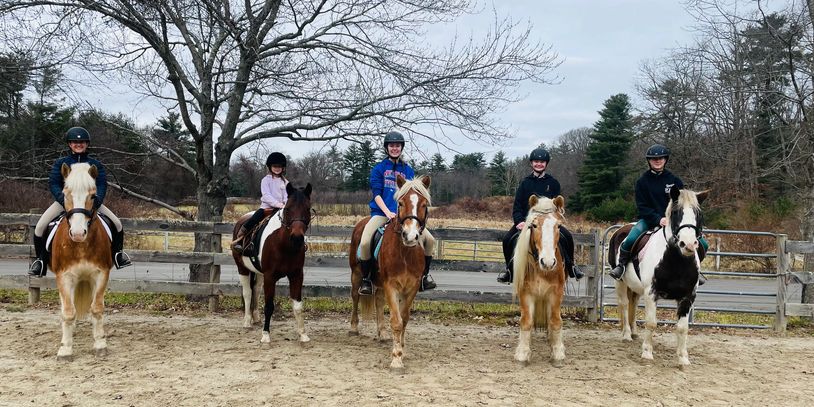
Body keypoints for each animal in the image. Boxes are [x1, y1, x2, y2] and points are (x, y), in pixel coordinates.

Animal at [50, 163, 113, 360]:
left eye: (92, 196)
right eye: (65, 194)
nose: (78, 233)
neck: (81, 246)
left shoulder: (101, 274)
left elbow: (97, 309)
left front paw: (100, 344)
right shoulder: (64, 276)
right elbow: (69, 312)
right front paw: (65, 349)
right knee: (66, 305)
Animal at [232, 183, 312, 344]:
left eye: (307, 208)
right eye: (287, 208)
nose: (297, 238)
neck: (283, 244)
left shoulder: (296, 275)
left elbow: (298, 306)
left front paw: (303, 334)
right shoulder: (270, 276)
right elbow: (269, 306)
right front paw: (265, 335)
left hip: (258, 273)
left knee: (256, 291)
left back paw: (256, 318)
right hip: (242, 268)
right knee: (248, 293)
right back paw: (247, 321)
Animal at [348, 174, 431, 369]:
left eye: (424, 204)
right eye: (400, 203)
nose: (410, 236)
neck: (405, 252)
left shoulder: (411, 287)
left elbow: (404, 318)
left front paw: (402, 349)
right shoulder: (391, 285)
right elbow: (396, 321)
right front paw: (396, 358)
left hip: (379, 282)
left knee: (378, 301)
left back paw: (383, 333)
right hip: (356, 274)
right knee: (355, 296)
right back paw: (354, 328)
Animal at [512, 195, 567, 366]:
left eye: (558, 226)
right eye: (534, 225)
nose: (548, 262)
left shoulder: (556, 293)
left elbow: (555, 321)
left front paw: (557, 353)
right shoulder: (525, 293)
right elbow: (526, 321)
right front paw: (522, 354)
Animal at [608, 188, 709, 367]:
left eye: (698, 214)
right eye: (676, 212)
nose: (688, 245)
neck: (676, 261)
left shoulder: (688, 297)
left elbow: (682, 328)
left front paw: (683, 358)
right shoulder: (652, 293)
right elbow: (651, 323)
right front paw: (647, 353)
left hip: (636, 287)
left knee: (633, 303)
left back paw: (634, 333)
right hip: (619, 281)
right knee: (625, 304)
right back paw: (626, 334)